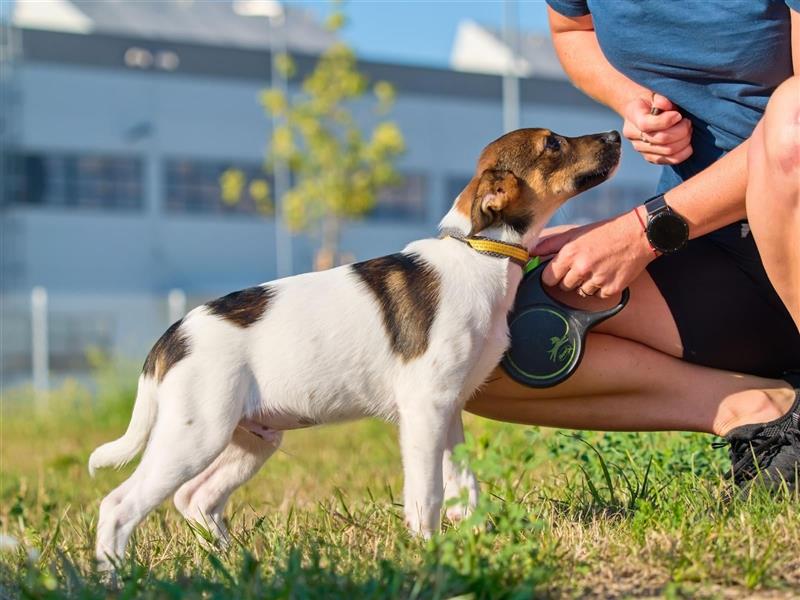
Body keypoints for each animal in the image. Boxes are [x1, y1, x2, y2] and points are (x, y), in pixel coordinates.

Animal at [90, 126, 620, 568]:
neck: (480, 253)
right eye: (552, 144)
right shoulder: (425, 410)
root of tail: (171, 337)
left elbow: (463, 484)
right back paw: (116, 577)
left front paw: (476, 538)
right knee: (119, 505)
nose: (617, 135)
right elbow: (427, 492)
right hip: (195, 434)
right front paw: (428, 551)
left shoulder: (449, 410)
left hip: (251, 438)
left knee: (195, 498)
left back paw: (234, 559)